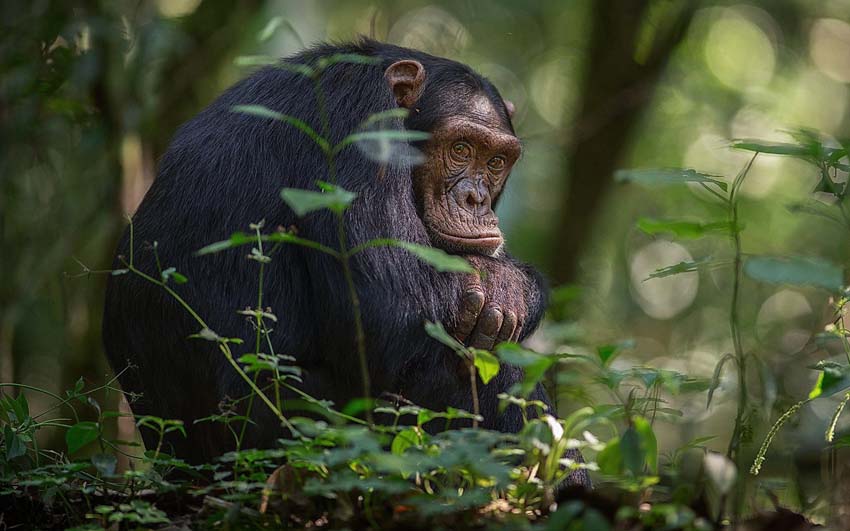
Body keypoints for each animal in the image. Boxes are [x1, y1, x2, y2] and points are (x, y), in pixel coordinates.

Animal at [101, 38, 588, 486]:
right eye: (462, 149)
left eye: (496, 161)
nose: (476, 198)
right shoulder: (355, 120)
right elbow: (388, 306)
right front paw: (506, 287)